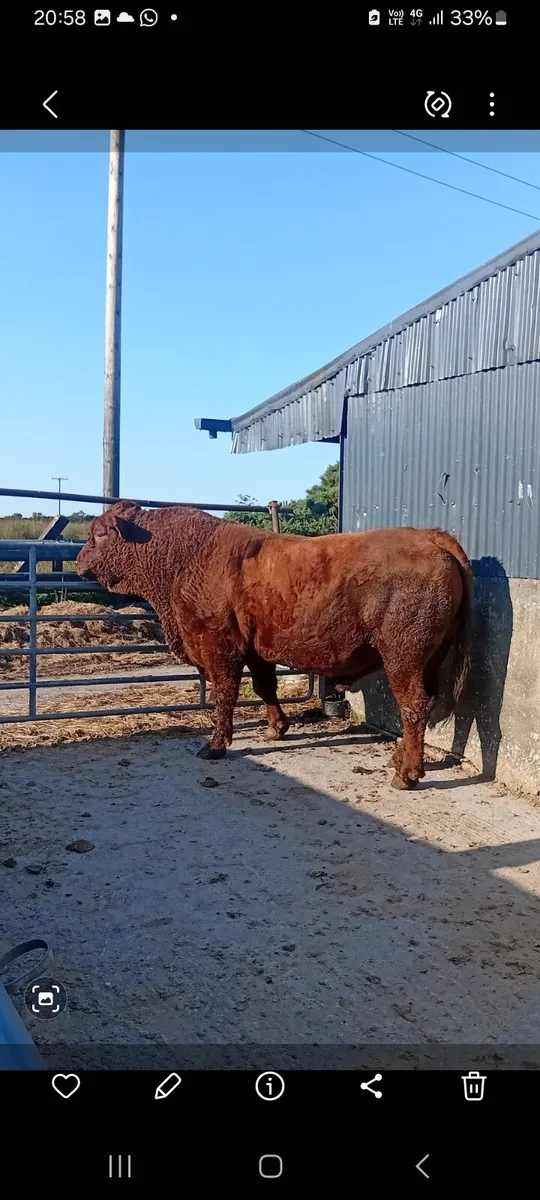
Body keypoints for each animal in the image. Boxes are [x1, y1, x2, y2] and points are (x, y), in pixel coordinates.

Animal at [76, 502, 473, 790]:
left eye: (98, 534)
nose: (78, 561)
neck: (185, 558)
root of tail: (430, 537)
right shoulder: (255, 650)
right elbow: (265, 686)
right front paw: (275, 728)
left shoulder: (219, 646)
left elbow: (225, 694)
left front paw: (215, 745)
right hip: (429, 659)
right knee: (425, 704)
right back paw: (400, 759)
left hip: (403, 656)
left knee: (413, 706)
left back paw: (406, 775)